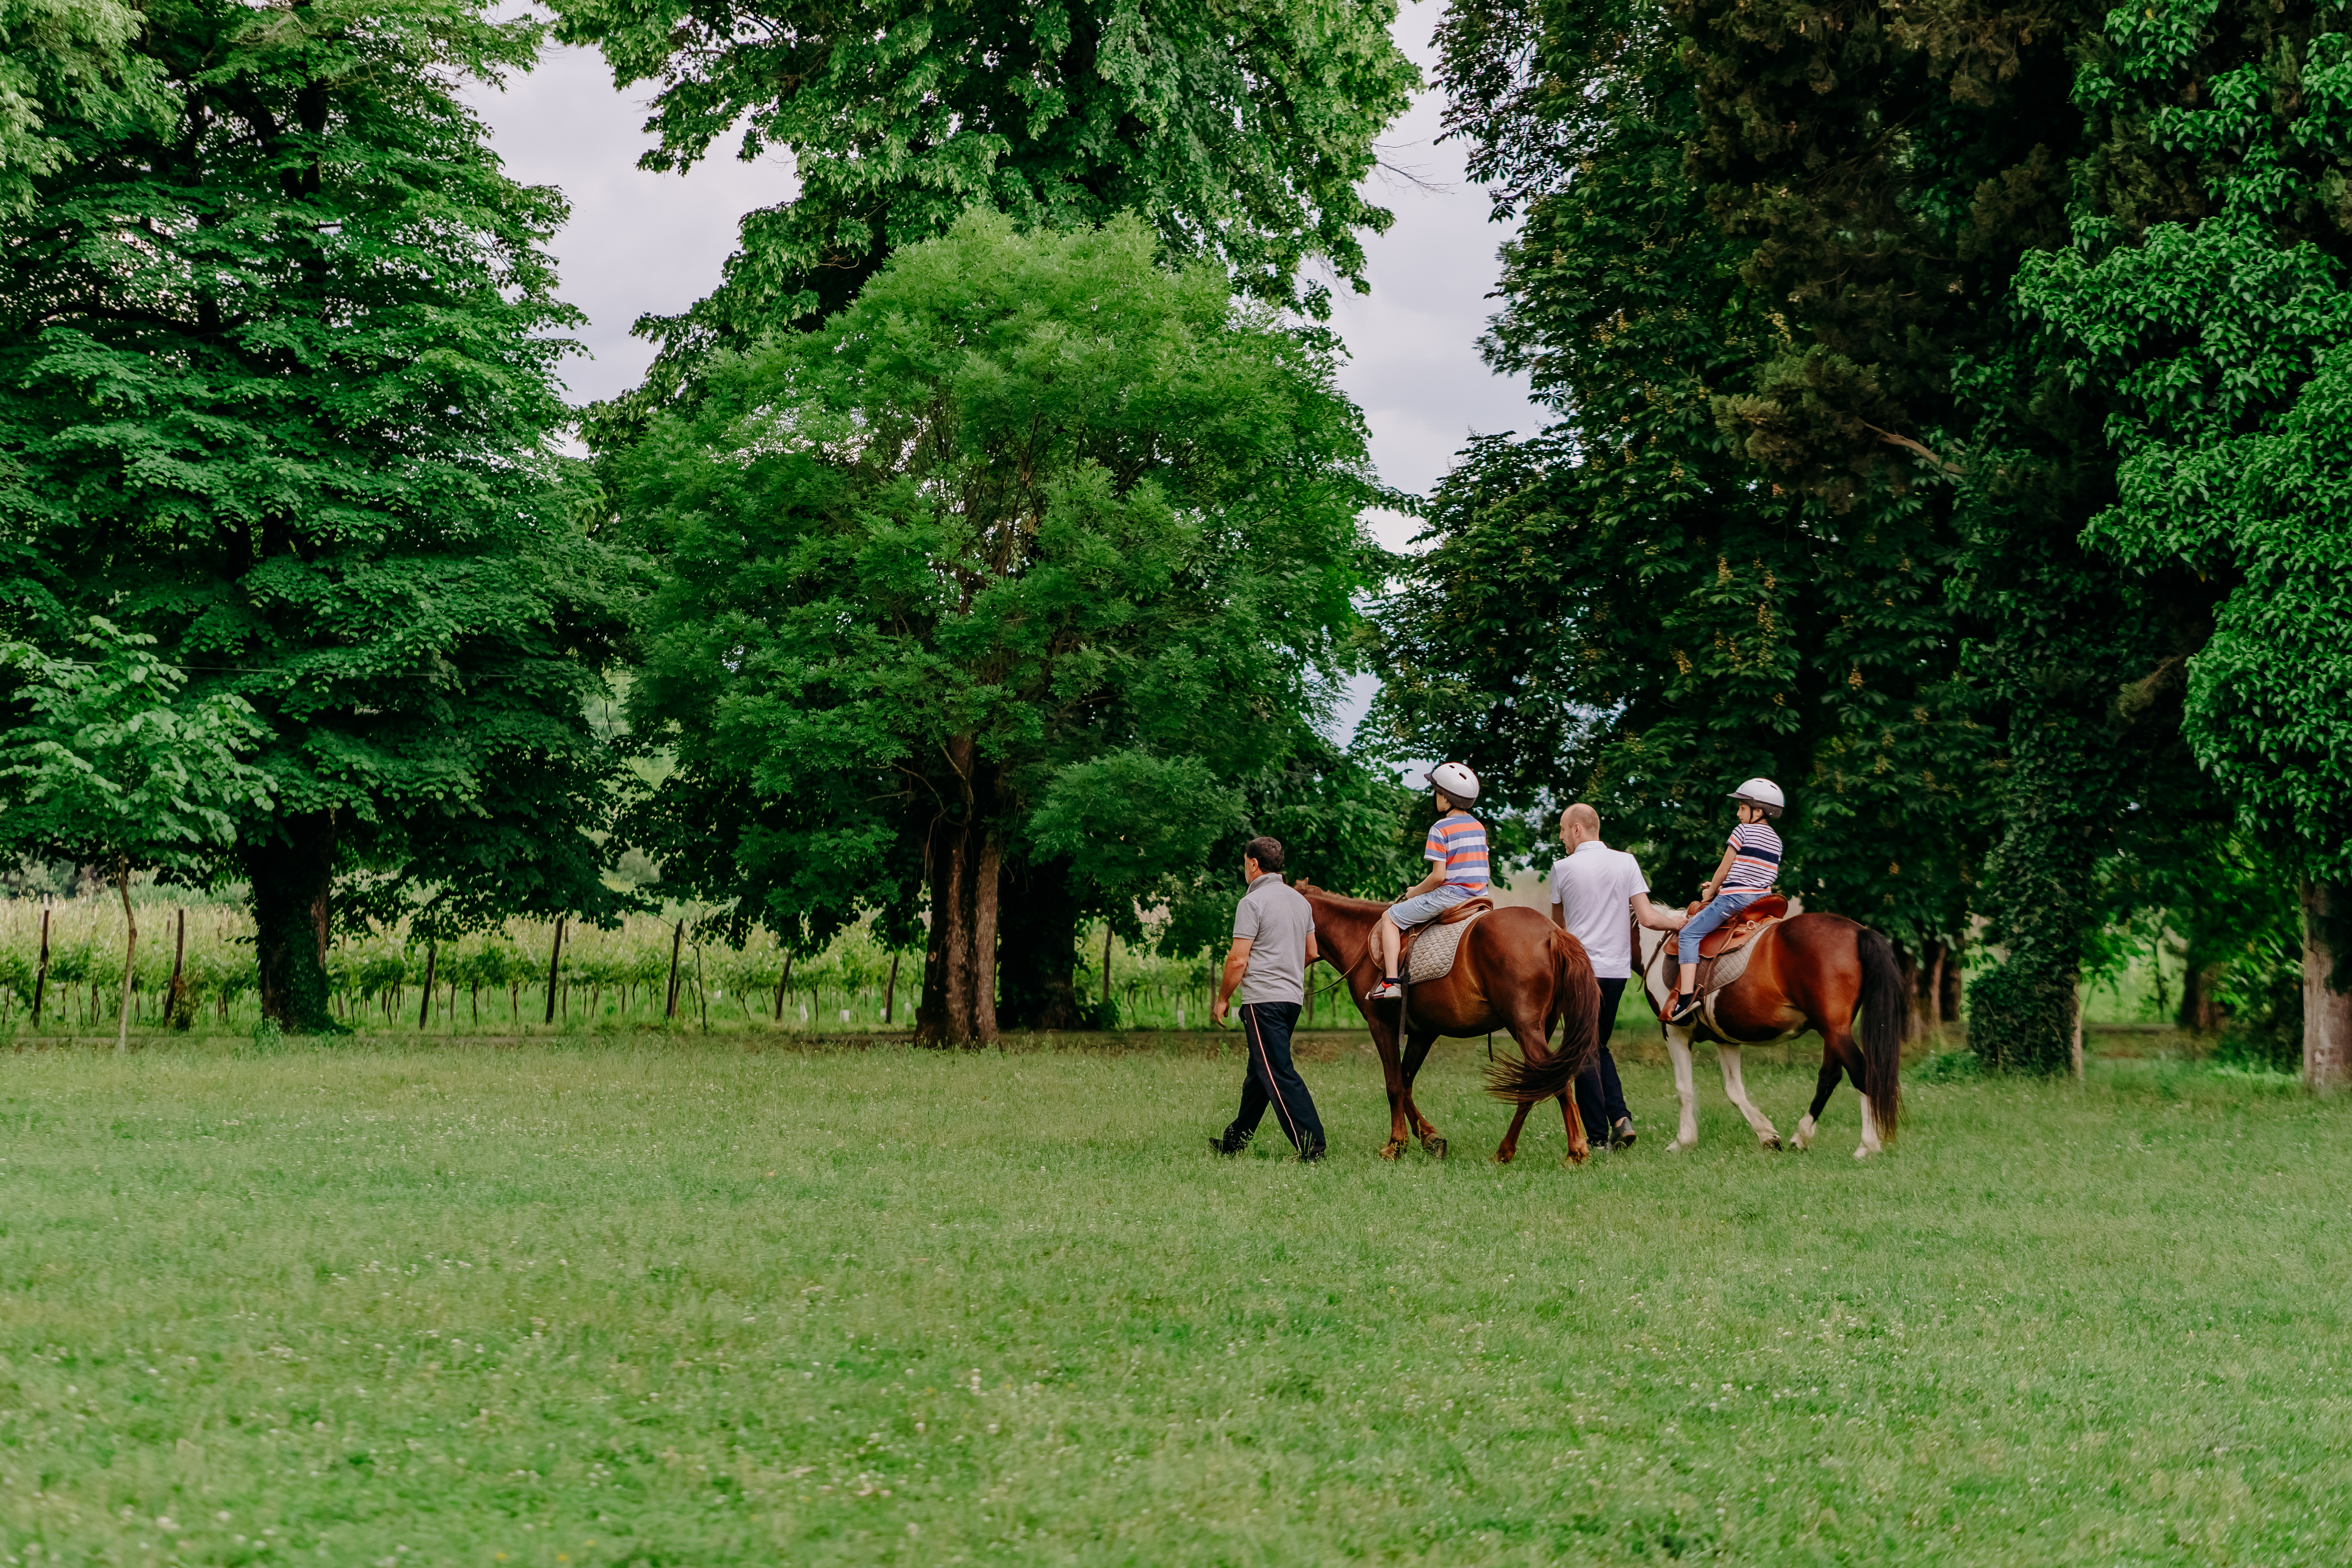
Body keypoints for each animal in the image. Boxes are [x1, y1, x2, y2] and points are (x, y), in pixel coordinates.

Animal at [1298, 884, 1609, 1166]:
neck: (1363, 939)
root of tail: (1553, 932)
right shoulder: (1423, 1033)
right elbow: (1406, 1083)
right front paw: (1429, 1138)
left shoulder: (1382, 1025)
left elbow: (1394, 1084)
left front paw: (1396, 1145)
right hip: (1538, 1030)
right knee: (1532, 1087)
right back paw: (1505, 1151)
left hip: (1525, 1030)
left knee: (1557, 1083)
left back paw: (1575, 1152)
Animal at [1496, 912, 1900, 1161]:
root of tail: (1857, 931)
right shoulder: (1726, 1039)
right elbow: (1735, 1091)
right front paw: (1767, 1135)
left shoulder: (1675, 1032)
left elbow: (1685, 1089)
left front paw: (1683, 1141)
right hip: (1832, 1030)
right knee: (1830, 1076)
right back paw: (1802, 1136)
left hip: (1834, 1030)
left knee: (1861, 1074)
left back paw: (1867, 1145)